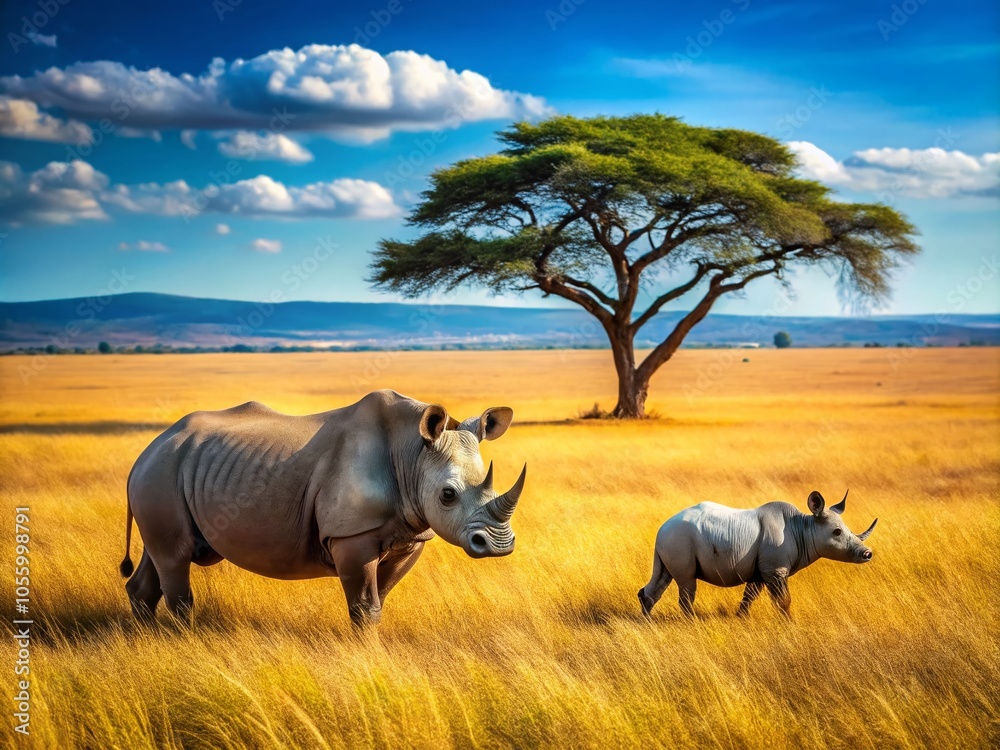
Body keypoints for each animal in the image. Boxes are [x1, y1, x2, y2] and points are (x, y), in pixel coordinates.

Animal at [120, 390, 526, 628]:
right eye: (447, 495)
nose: (498, 545)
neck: (412, 454)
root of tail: (147, 451)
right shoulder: (351, 534)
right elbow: (364, 606)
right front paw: (368, 661)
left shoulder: (412, 533)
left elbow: (380, 600)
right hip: (161, 472)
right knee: (174, 557)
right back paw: (183, 641)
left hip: (170, 472)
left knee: (161, 556)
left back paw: (145, 639)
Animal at [638, 490, 877, 619]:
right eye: (837, 532)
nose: (867, 554)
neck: (804, 528)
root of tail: (661, 529)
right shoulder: (775, 569)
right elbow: (783, 600)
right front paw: (789, 624)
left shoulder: (762, 570)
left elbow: (749, 596)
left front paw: (741, 618)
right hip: (679, 538)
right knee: (687, 582)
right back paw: (691, 622)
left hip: (670, 541)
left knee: (663, 578)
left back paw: (647, 619)